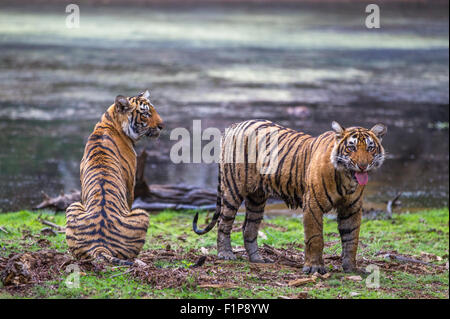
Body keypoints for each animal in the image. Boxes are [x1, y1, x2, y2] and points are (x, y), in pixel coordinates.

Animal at [66, 90, 164, 264]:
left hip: (73, 206)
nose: (162, 125)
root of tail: (100, 246)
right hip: (142, 214)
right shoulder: (130, 186)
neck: (109, 121)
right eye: (146, 114)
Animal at [193, 120, 386, 276]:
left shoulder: (351, 208)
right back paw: (225, 254)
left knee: (249, 228)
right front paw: (314, 268)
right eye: (351, 147)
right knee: (223, 223)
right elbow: (315, 238)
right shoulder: (313, 205)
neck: (347, 177)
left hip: (257, 198)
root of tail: (233, 126)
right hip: (233, 189)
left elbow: (352, 239)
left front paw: (351, 268)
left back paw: (258, 259)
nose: (362, 166)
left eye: (370, 147)